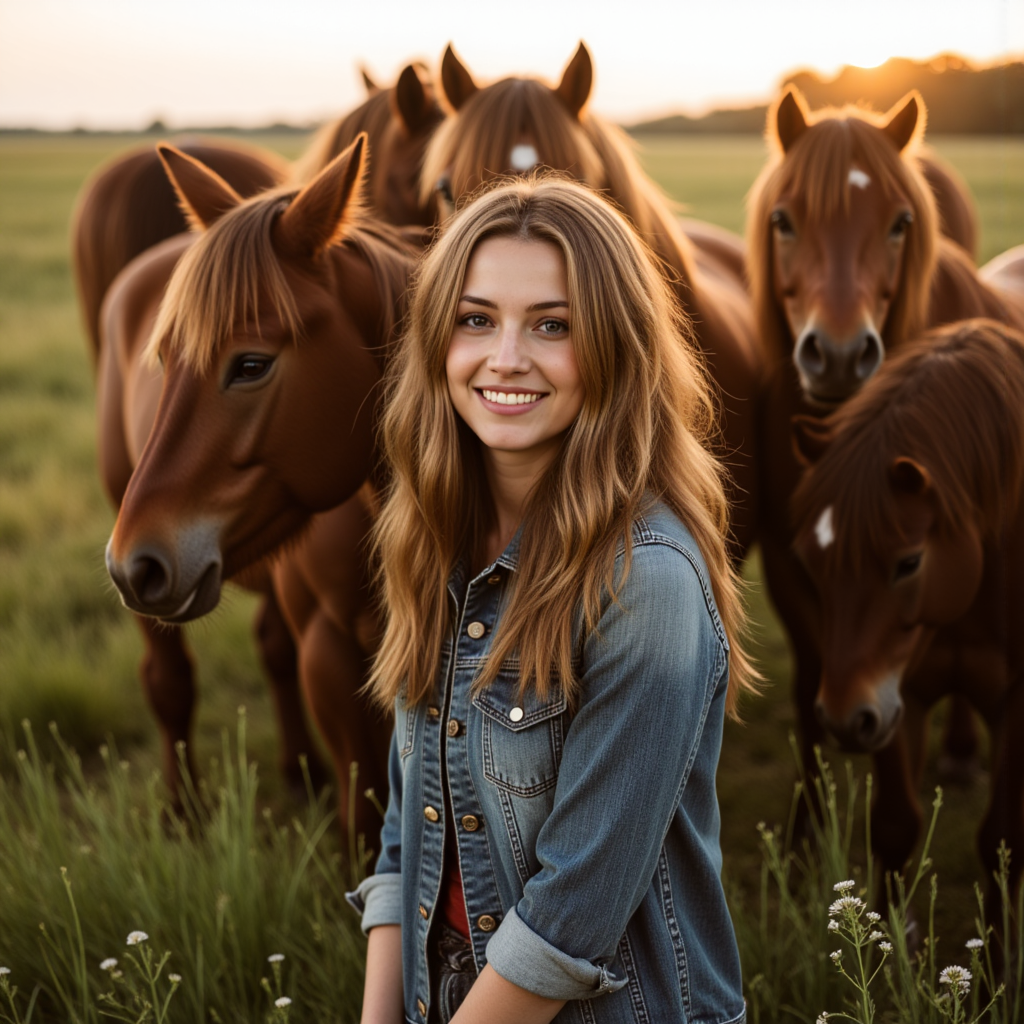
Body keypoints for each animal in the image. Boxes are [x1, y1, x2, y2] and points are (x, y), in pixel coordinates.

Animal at [103, 137, 416, 836]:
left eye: (251, 364)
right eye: (164, 359)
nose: (133, 563)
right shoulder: (327, 653)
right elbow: (364, 815)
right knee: (167, 680)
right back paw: (180, 814)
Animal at [790, 318, 1024, 910]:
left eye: (909, 562)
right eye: (810, 561)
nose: (842, 718)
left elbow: (1003, 844)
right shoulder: (897, 696)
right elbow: (896, 827)